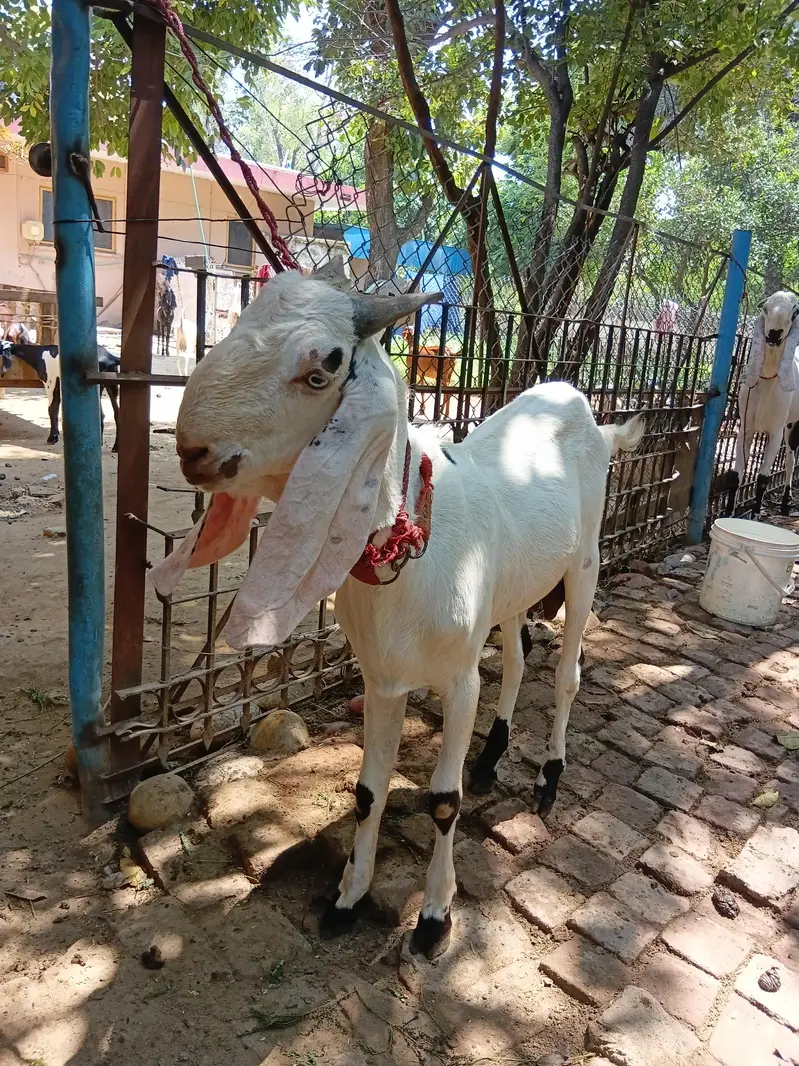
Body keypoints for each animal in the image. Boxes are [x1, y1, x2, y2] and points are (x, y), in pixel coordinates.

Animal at [147, 258, 644, 959]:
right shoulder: (382, 680)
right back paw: (491, 759)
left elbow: (442, 801)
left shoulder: (459, 682)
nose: (192, 450)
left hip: (586, 562)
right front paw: (348, 899)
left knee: (568, 672)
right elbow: (366, 791)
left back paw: (548, 775)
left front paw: (434, 917)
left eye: (323, 368)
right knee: (519, 659)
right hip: (514, 585)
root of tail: (588, 414)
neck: (409, 550)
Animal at [724, 290, 799, 516]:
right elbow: (736, 476)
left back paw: (785, 504)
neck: (767, 380)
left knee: (791, 459)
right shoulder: (746, 427)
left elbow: (763, 479)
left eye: (794, 313)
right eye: (765, 309)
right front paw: (727, 514)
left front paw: (756, 514)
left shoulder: (775, 432)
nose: (774, 334)